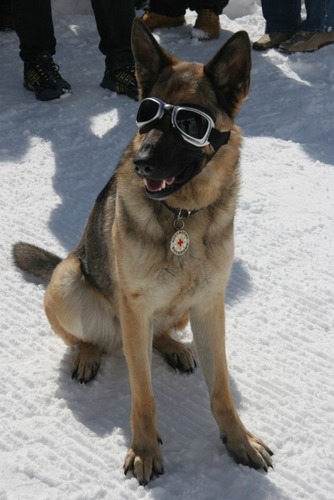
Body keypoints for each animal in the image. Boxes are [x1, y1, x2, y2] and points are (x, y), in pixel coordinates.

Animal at [13, 18, 274, 484]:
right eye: (146, 113)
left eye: (190, 122)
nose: (142, 163)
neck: (182, 214)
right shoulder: (135, 306)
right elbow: (143, 395)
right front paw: (145, 449)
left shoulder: (210, 304)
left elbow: (221, 389)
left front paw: (239, 440)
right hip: (68, 282)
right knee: (89, 337)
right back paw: (88, 354)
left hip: (180, 311)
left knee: (160, 333)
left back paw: (173, 347)